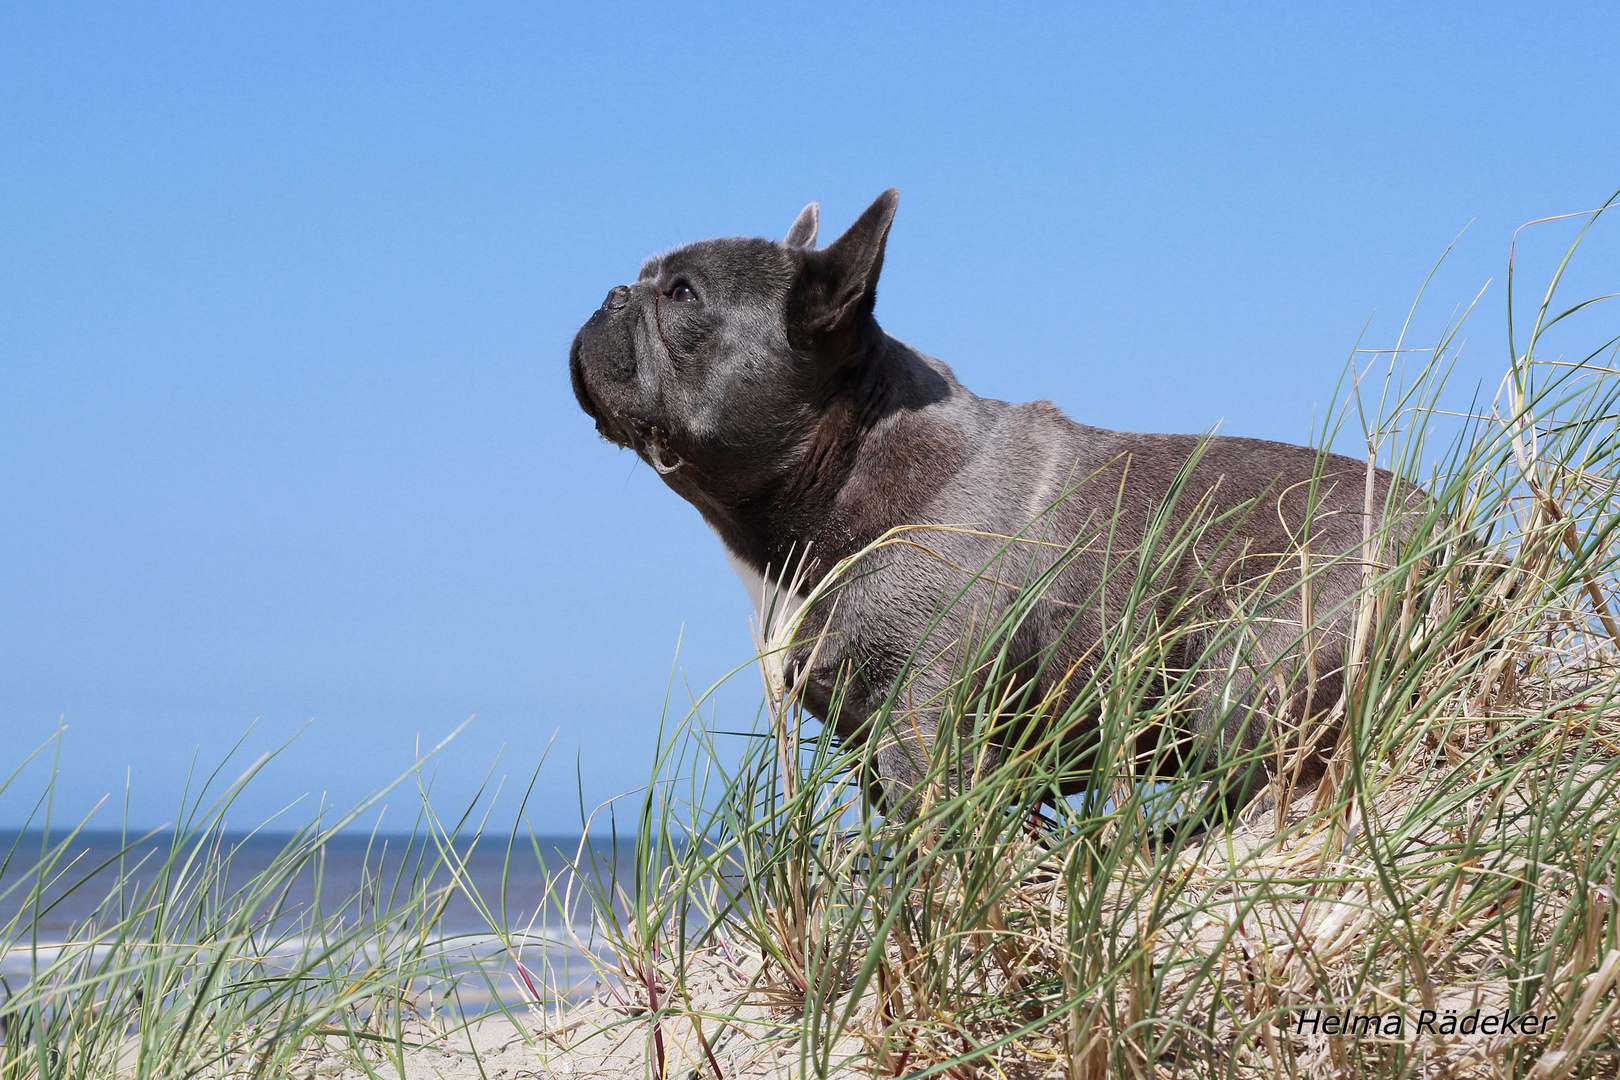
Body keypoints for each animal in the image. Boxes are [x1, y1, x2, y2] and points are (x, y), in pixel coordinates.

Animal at [573, 194, 1419, 816]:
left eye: (683, 295)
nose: (613, 293)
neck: (860, 464)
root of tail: (1449, 546)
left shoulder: (921, 726)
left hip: (1247, 674)